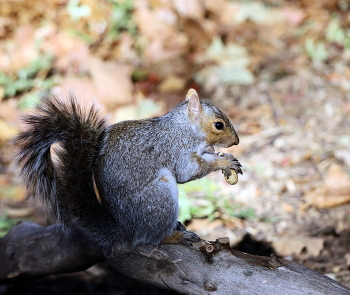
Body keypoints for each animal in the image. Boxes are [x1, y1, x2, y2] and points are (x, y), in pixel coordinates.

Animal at [15, 89, 242, 249]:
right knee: (153, 238)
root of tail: (128, 231)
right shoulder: (177, 148)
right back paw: (175, 236)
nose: (236, 142)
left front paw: (228, 159)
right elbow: (189, 171)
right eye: (219, 125)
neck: (182, 128)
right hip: (159, 197)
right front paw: (224, 163)